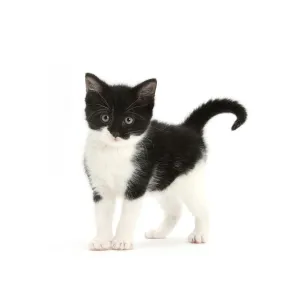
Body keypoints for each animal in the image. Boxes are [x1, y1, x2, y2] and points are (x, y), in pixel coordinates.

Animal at [84, 73, 246, 251]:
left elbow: (127, 215)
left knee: (202, 207)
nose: (115, 133)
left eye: (129, 120)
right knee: (175, 209)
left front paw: (121, 241)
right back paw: (159, 233)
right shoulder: (100, 187)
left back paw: (200, 234)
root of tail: (189, 128)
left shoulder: (137, 184)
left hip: (189, 179)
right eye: (105, 117)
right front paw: (102, 241)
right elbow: (102, 216)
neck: (114, 153)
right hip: (163, 182)